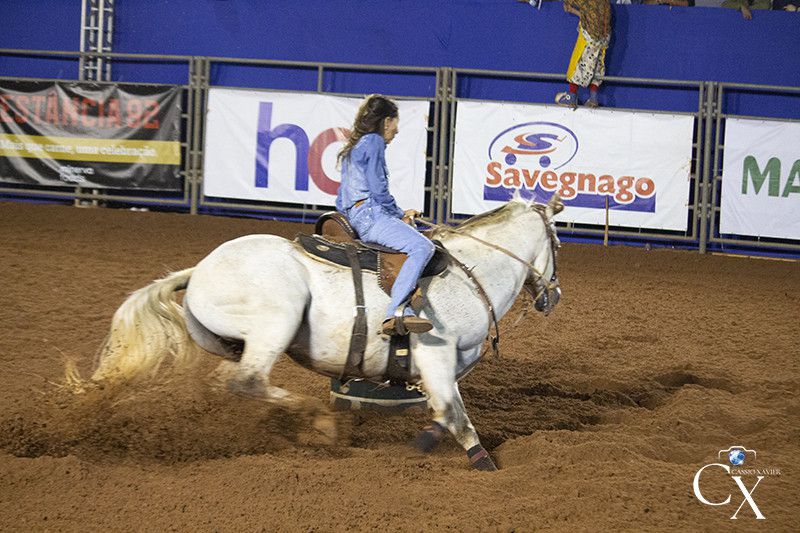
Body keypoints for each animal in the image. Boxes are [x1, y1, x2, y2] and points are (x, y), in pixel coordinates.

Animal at [83, 194, 563, 471]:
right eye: (557, 243)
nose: (553, 296)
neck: (469, 273)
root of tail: (198, 270)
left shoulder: (447, 367)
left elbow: (445, 414)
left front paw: (428, 440)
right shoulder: (437, 354)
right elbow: (455, 416)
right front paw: (484, 466)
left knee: (230, 384)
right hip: (277, 318)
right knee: (248, 381)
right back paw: (320, 421)